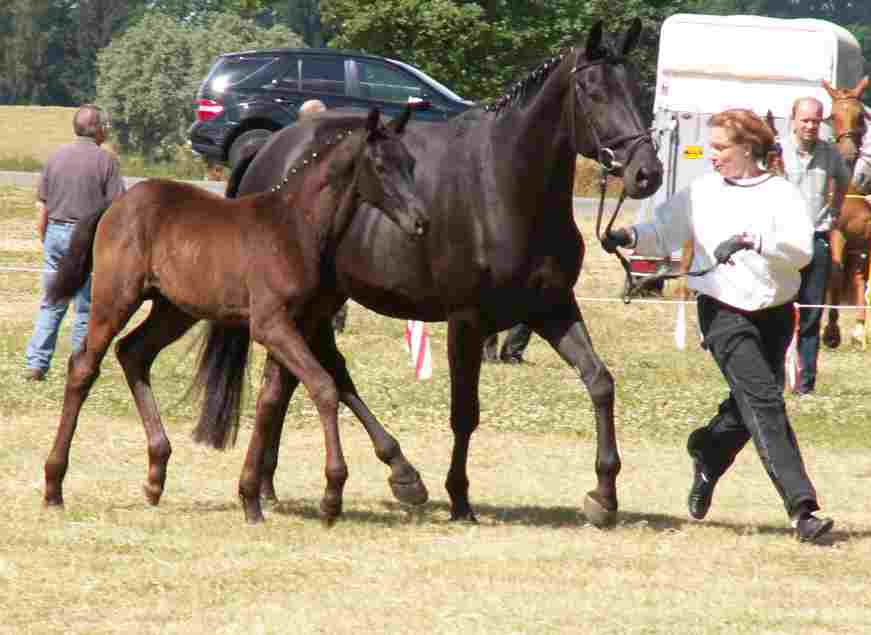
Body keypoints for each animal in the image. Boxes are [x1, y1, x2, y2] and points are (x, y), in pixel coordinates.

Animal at [42, 108, 430, 528]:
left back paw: (155, 476)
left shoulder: (298, 325)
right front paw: (331, 495)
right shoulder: (271, 324)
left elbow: (271, 400)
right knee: (84, 366)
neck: (296, 226)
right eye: (380, 165)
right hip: (115, 297)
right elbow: (324, 387)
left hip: (174, 310)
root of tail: (116, 203)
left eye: (410, 163)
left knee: (133, 353)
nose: (420, 221)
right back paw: (54, 486)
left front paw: (250, 498)